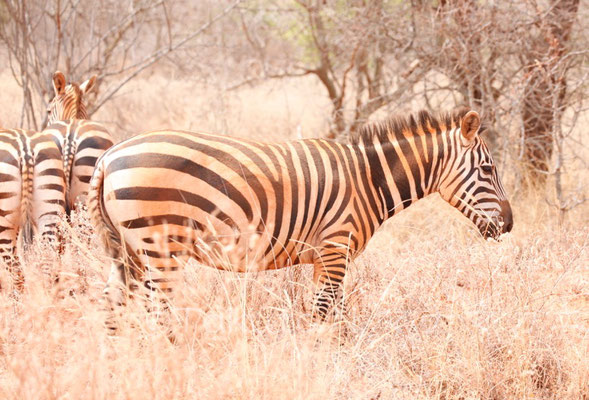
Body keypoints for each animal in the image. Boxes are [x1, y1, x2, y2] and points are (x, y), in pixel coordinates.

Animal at [0, 128, 67, 288]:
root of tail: (25, 146)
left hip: (4, 221)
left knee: (15, 268)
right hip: (50, 211)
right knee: (48, 259)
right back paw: (46, 294)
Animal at [86, 108, 510, 320]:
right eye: (488, 170)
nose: (510, 224)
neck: (367, 180)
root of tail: (110, 155)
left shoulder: (323, 258)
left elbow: (333, 314)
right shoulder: (336, 249)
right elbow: (325, 314)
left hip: (127, 252)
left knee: (111, 309)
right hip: (161, 247)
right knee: (155, 313)